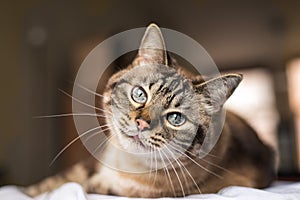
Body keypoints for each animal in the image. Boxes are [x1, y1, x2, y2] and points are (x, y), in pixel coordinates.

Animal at [24, 23, 276, 197]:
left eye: (175, 118)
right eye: (140, 94)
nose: (142, 123)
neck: (124, 163)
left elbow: (85, 186)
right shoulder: (90, 165)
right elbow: (52, 183)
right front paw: (30, 191)